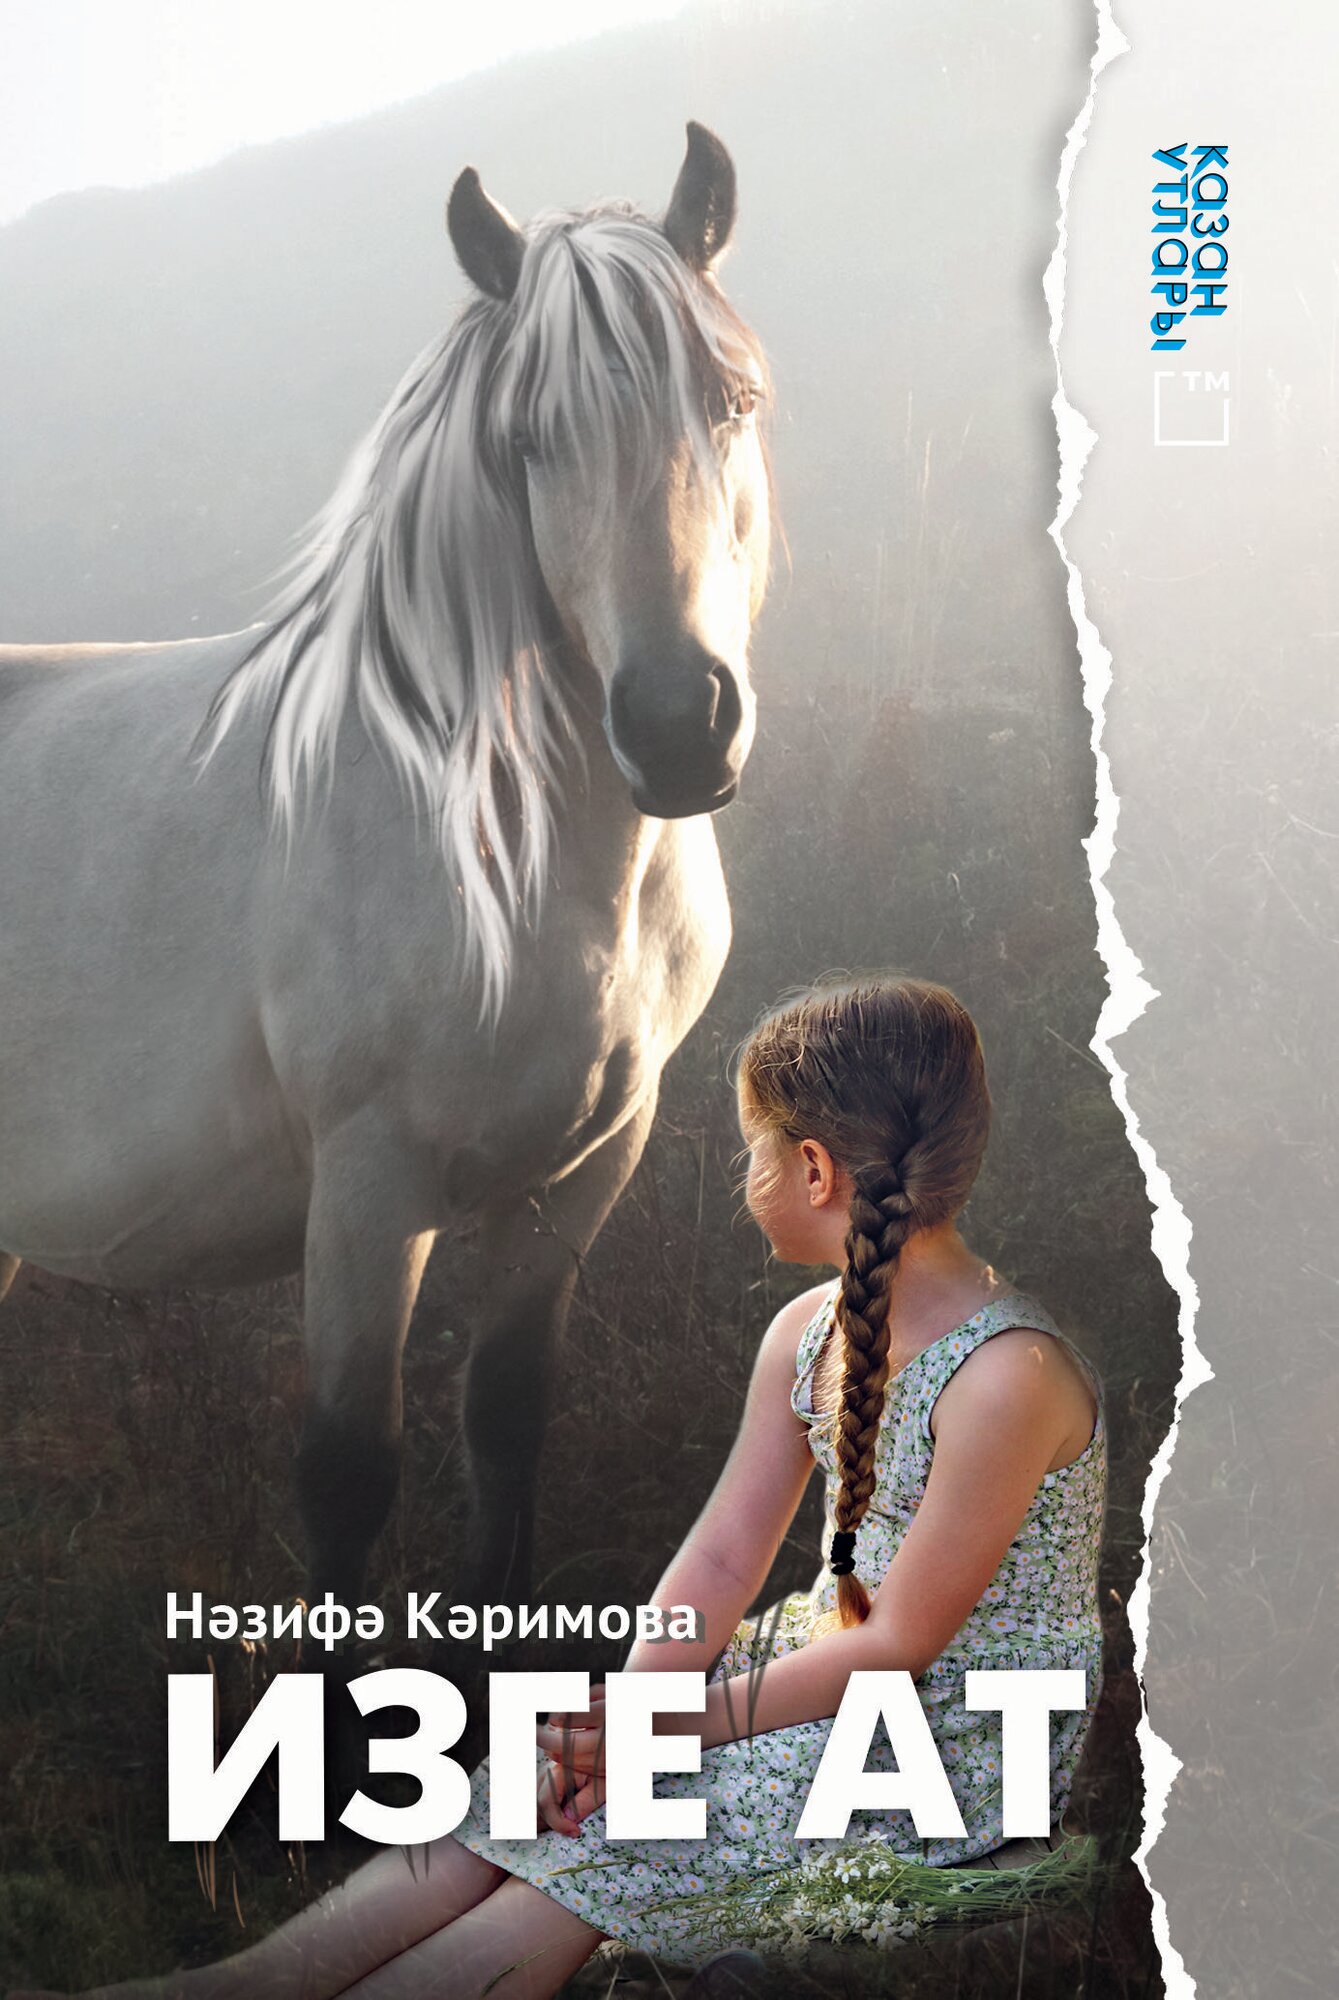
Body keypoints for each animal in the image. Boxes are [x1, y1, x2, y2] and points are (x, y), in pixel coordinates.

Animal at [0, 123, 771, 1615]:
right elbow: (350, 1479)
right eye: (529, 441)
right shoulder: (368, 1194)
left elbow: (507, 1417)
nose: (675, 727)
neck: (511, 868)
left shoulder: (582, 1168)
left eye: (731, 401)